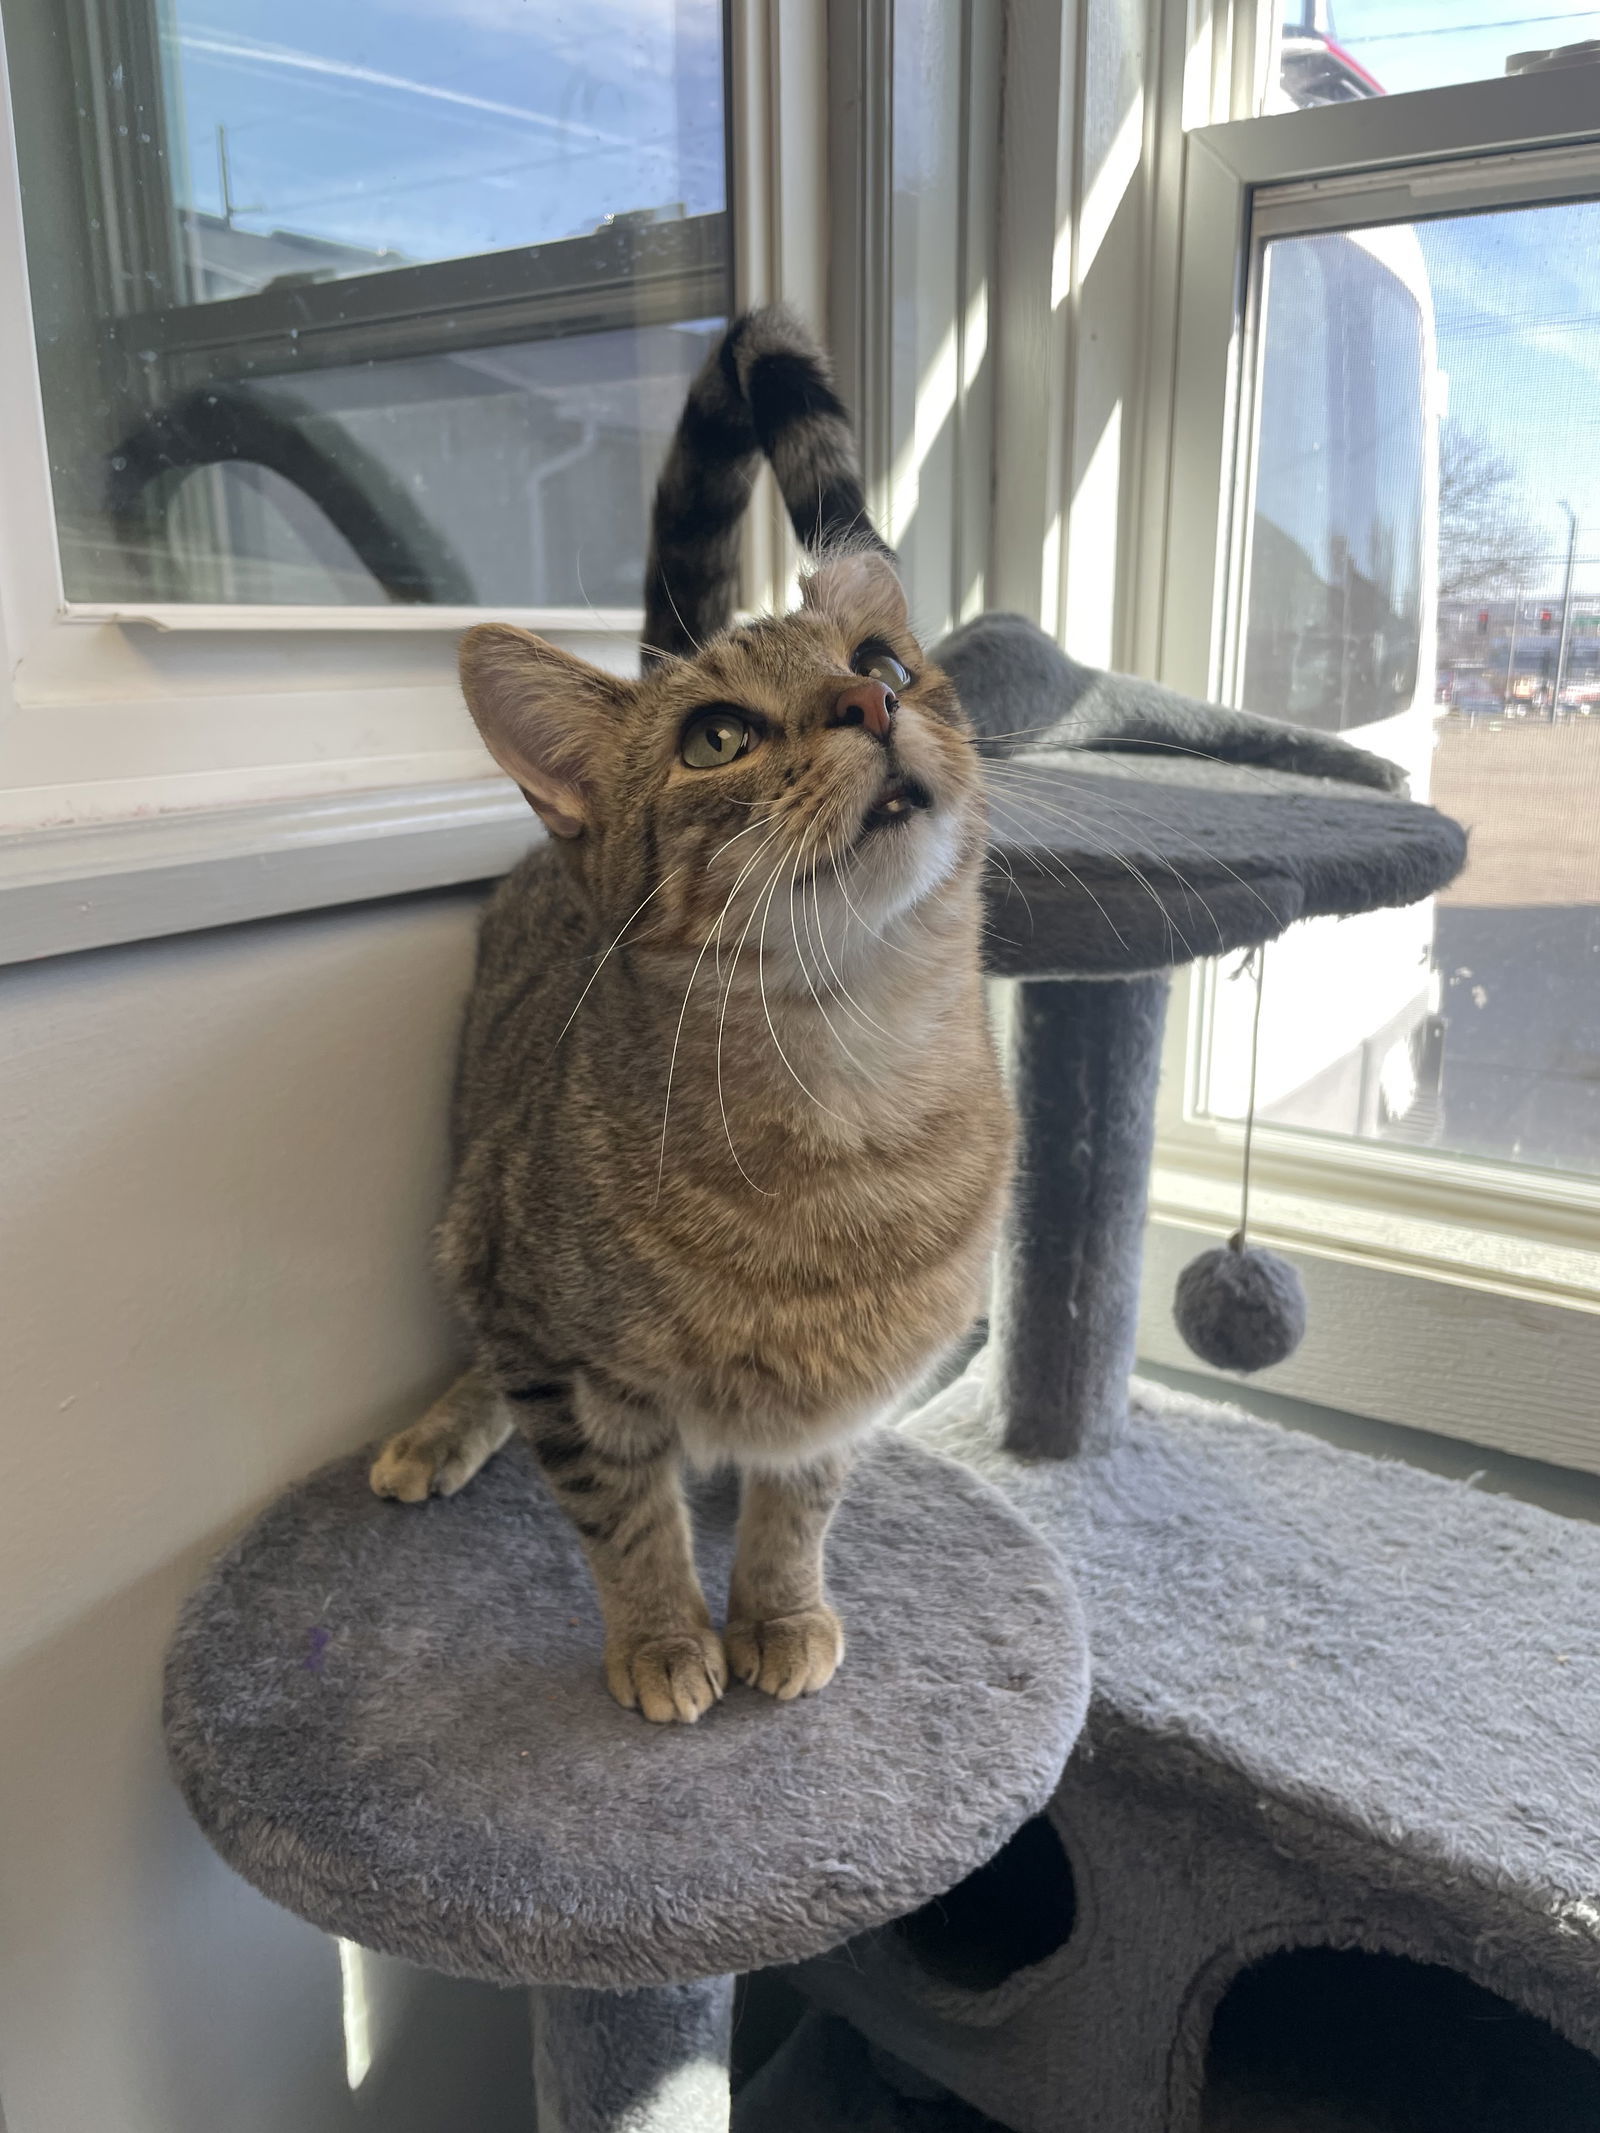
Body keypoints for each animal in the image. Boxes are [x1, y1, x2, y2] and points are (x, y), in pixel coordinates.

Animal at [373, 309, 1015, 1723]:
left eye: (883, 663)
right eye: (715, 739)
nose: (872, 702)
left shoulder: (848, 1404)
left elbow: (800, 1504)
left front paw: (775, 1609)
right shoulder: (554, 1347)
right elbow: (622, 1517)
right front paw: (666, 1638)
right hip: (470, 1204)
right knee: (478, 1335)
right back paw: (446, 1425)